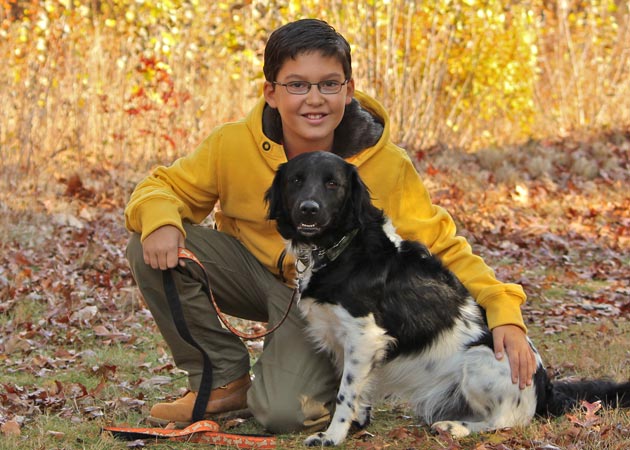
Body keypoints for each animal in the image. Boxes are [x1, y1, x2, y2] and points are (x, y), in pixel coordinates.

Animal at [264, 151, 628, 446]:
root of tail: (544, 388)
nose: (308, 210)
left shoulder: (363, 336)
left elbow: (344, 394)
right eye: (296, 180)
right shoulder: (347, 342)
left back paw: (456, 428)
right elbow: (355, 390)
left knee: (505, 422)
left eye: (332, 184)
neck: (338, 249)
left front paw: (331, 436)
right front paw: (357, 424)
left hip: (478, 361)